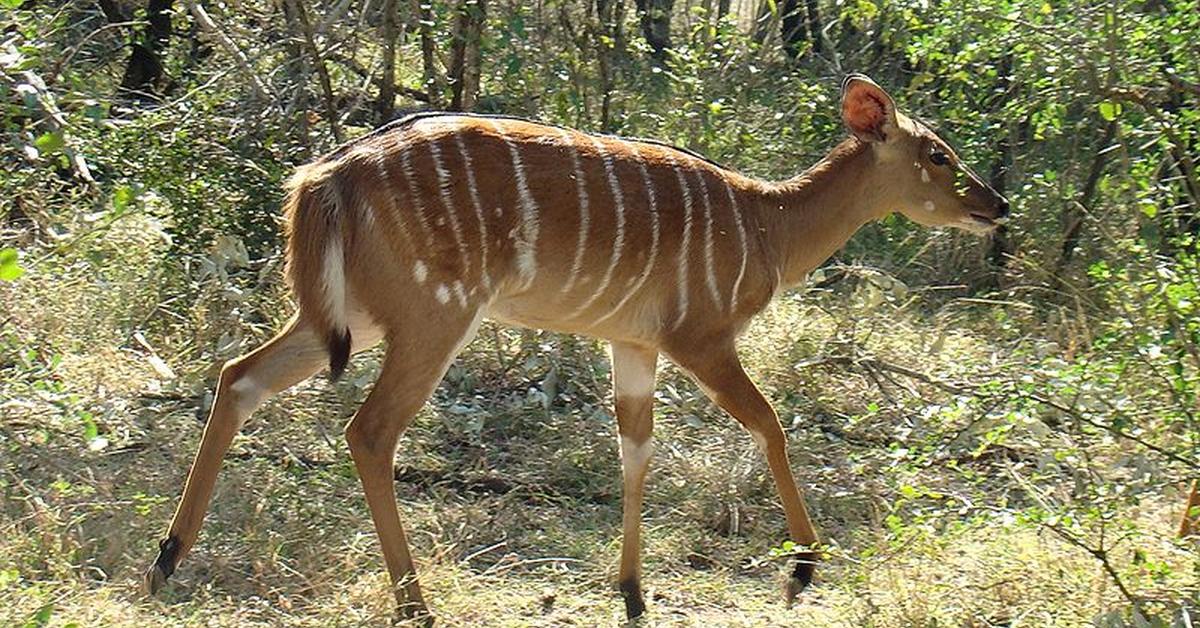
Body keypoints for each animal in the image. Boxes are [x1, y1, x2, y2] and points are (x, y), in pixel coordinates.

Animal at [145, 76, 1008, 619]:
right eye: (938, 154)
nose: (996, 205)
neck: (769, 225)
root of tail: (326, 175)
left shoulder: (633, 344)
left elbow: (634, 449)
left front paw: (631, 589)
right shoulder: (701, 337)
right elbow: (769, 423)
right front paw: (802, 565)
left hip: (349, 315)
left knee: (238, 377)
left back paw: (167, 558)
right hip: (432, 316)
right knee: (368, 431)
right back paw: (416, 602)